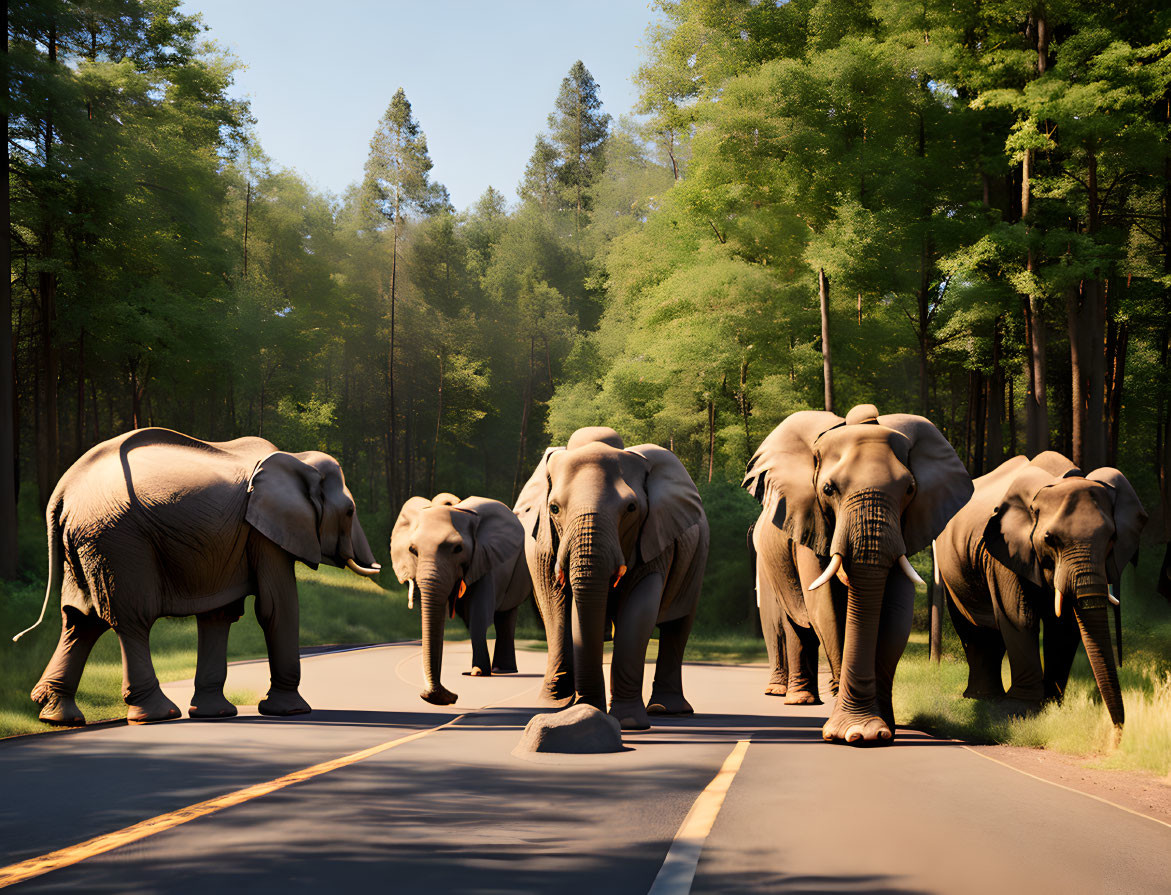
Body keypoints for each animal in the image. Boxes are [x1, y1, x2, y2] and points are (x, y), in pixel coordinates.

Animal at [17, 426, 379, 726]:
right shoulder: (263, 533)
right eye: (350, 512)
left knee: (79, 619)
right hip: (117, 540)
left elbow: (220, 614)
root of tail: (63, 490)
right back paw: (157, 715)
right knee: (131, 617)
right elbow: (277, 607)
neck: (297, 459)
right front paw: (292, 712)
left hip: (85, 544)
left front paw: (216, 714)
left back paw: (55, 716)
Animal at [391, 489, 529, 707]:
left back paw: (502, 670)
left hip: (520, 570)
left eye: (458, 549)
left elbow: (479, 616)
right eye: (413, 550)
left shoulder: (485, 557)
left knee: (505, 617)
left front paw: (478, 673)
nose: (453, 697)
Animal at [517, 424, 707, 726]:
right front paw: (564, 709)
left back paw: (667, 710)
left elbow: (639, 610)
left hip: (698, 557)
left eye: (631, 509)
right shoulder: (542, 546)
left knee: (678, 625)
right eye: (554, 508)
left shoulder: (654, 538)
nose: (590, 706)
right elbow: (560, 609)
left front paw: (628, 722)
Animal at [744, 402, 974, 740]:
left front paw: (878, 729)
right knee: (793, 623)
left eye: (910, 489)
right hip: (768, 562)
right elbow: (827, 608)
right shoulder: (811, 519)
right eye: (828, 489)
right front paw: (850, 732)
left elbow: (897, 610)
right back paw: (799, 700)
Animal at [932, 449, 1142, 730]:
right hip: (952, 569)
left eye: (1112, 539)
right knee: (974, 628)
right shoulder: (1004, 552)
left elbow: (1065, 626)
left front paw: (1051, 706)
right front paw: (1021, 710)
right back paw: (982, 699)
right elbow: (1020, 616)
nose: (1118, 733)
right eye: (1049, 539)